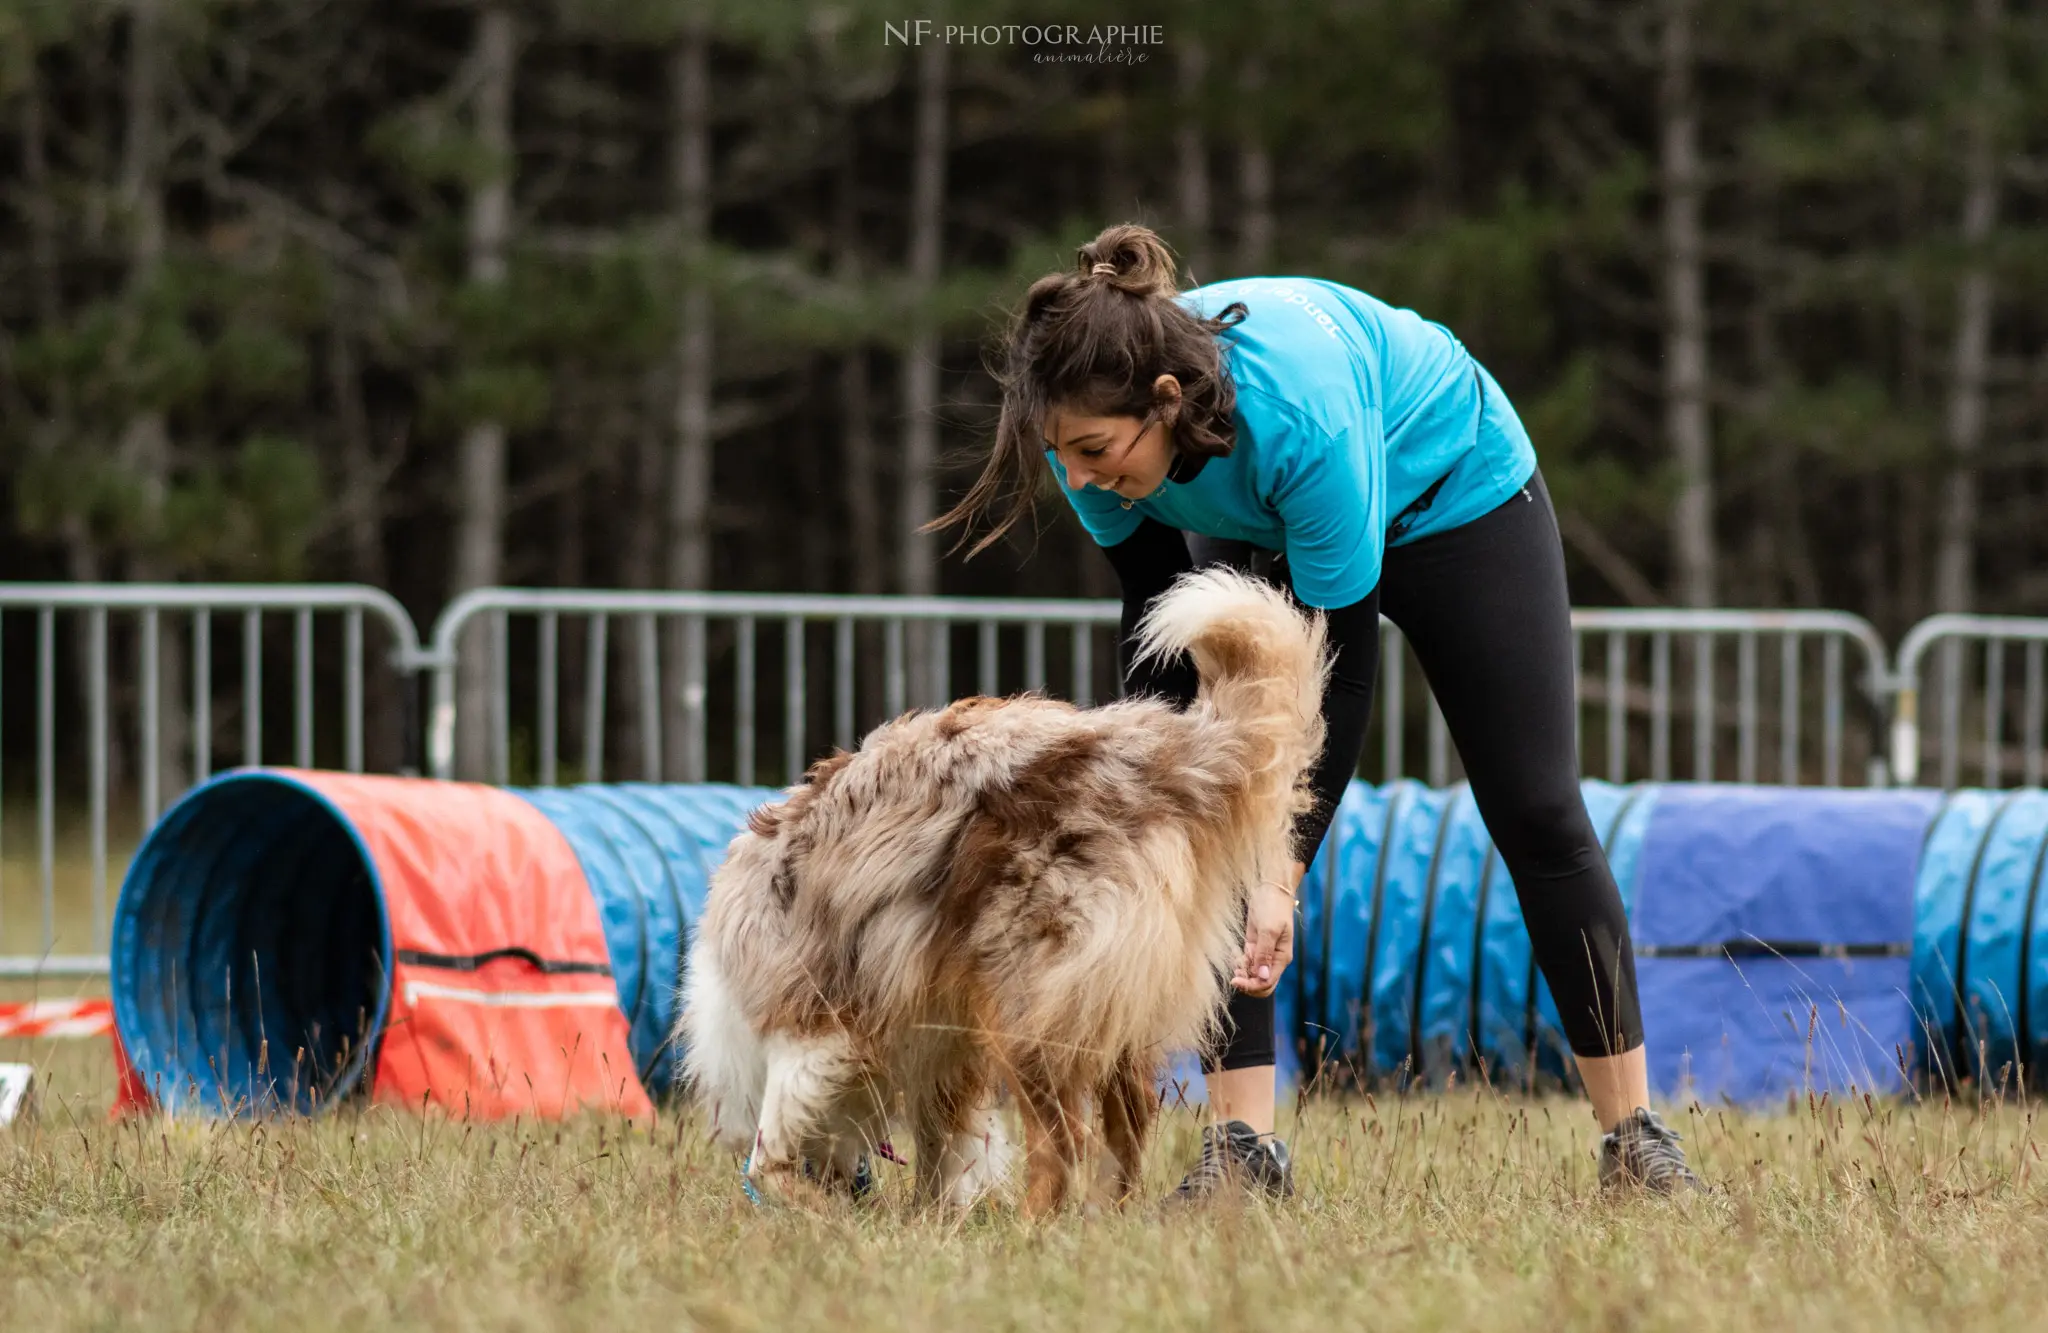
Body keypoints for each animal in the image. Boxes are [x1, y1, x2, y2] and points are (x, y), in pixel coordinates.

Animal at [679, 569, 1335, 1212]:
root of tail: (1149, 757)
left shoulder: (813, 1024)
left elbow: (773, 1137)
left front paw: (791, 1188)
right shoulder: (940, 1052)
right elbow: (947, 1145)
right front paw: (935, 1215)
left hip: (1026, 1001)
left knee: (1063, 1139)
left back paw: (1035, 1226)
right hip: (1103, 1002)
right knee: (1127, 1125)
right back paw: (1106, 1219)